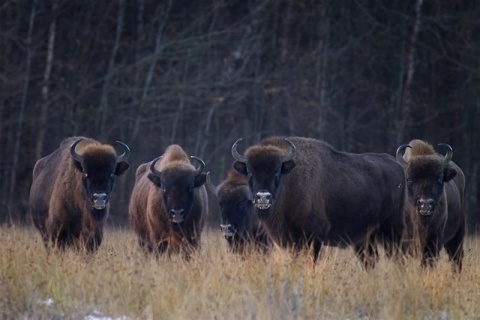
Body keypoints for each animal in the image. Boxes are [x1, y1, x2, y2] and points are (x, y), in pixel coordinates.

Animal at [231, 136, 406, 268]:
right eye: (250, 173)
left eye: (276, 172)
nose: (263, 197)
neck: (290, 181)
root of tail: (397, 165)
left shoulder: (314, 237)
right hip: (365, 239)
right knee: (371, 260)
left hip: (391, 230)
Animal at [398, 139, 464, 272]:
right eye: (409, 179)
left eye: (439, 178)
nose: (425, 204)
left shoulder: (435, 236)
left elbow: (428, 260)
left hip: (458, 234)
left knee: (456, 257)